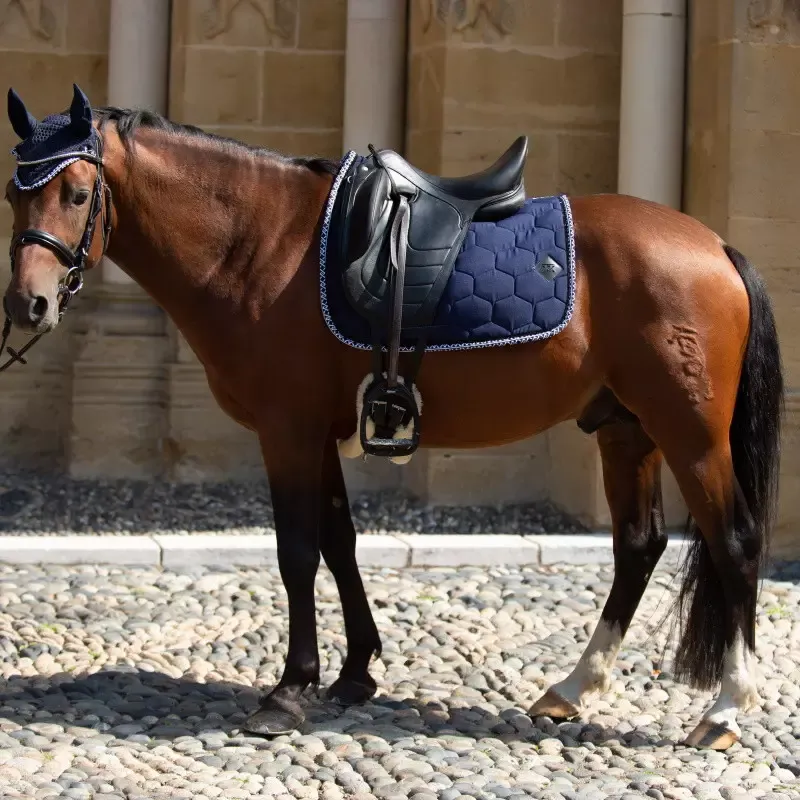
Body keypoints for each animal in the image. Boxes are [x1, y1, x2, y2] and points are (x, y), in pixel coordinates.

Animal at [2, 84, 783, 751]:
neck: (259, 244)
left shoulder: (287, 431)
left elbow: (296, 553)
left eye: (77, 192)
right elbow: (340, 543)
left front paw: (289, 691)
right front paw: (355, 673)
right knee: (638, 547)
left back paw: (723, 711)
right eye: (14, 191)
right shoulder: (319, 432)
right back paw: (571, 687)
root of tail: (716, 247)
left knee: (735, 542)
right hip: (627, 429)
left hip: (690, 434)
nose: (27, 304)